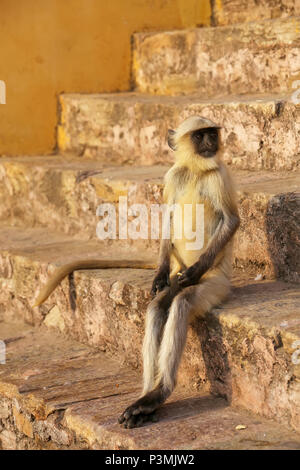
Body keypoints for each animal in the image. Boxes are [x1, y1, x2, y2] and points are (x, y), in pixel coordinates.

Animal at [118, 116, 240, 430]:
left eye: (211, 134)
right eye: (199, 136)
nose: (211, 142)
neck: (197, 170)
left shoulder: (219, 175)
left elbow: (231, 221)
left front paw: (194, 272)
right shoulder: (173, 177)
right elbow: (168, 219)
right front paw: (158, 276)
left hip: (217, 283)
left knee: (182, 301)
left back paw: (159, 392)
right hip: (177, 271)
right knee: (158, 306)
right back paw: (147, 397)